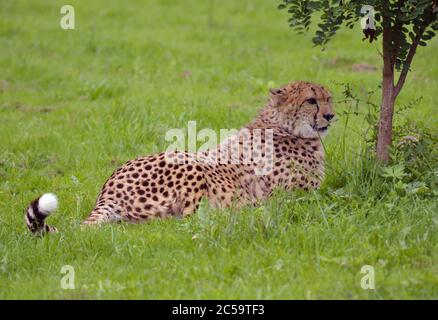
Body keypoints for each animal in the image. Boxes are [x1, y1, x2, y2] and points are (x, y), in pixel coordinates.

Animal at [25, 81, 334, 234]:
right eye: (311, 100)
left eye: (329, 98)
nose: (331, 116)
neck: (284, 125)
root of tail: (108, 188)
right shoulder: (293, 195)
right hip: (188, 163)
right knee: (186, 220)